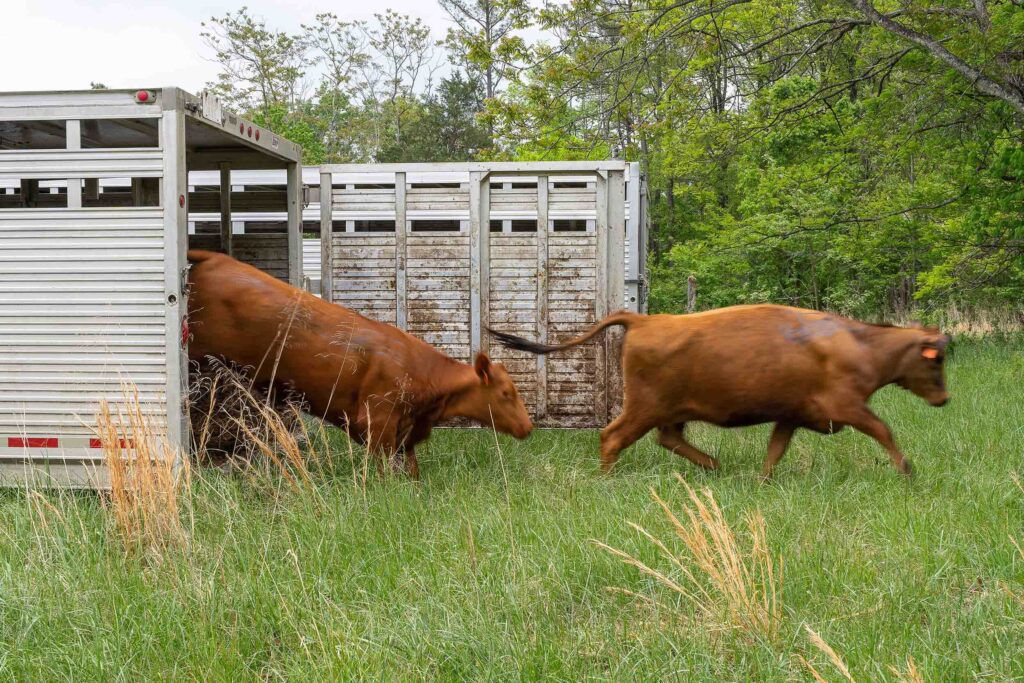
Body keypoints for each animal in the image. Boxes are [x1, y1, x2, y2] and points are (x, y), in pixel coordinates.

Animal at [185, 250, 532, 477]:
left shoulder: (403, 434)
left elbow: (412, 471)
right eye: (506, 394)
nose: (528, 427)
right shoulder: (378, 426)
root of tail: (217, 258)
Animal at [490, 304, 950, 478]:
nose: (944, 399)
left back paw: (714, 465)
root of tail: (643, 319)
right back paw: (606, 478)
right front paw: (907, 470)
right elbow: (883, 430)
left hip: (670, 412)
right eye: (938, 360)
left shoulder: (790, 415)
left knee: (669, 439)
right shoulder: (849, 407)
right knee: (613, 436)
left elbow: (775, 450)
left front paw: (763, 480)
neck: (858, 344)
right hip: (643, 408)